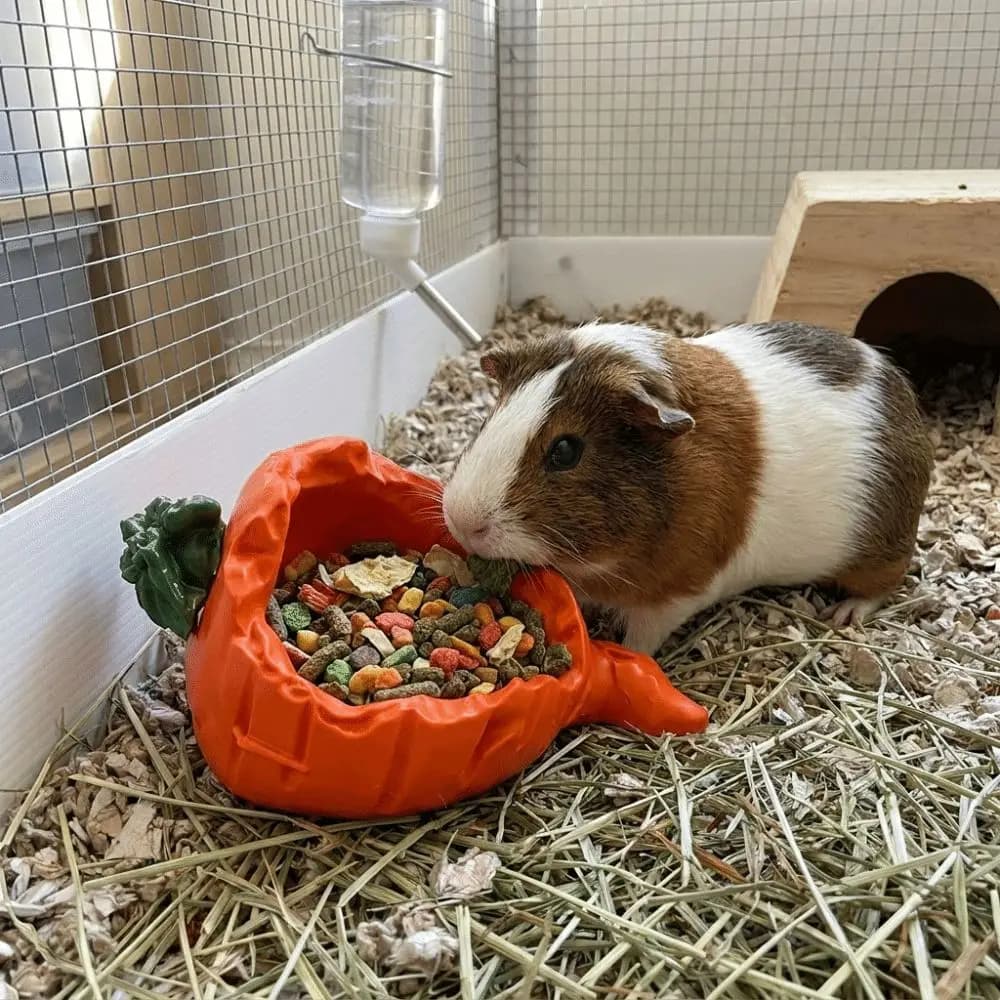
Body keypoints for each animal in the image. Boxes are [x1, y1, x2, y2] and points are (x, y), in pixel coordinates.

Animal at [442, 320, 933, 656]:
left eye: (565, 450)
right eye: (490, 418)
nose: (462, 521)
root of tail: (905, 398)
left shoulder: (677, 594)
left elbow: (642, 640)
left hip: (879, 555)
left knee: (885, 584)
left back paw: (844, 615)